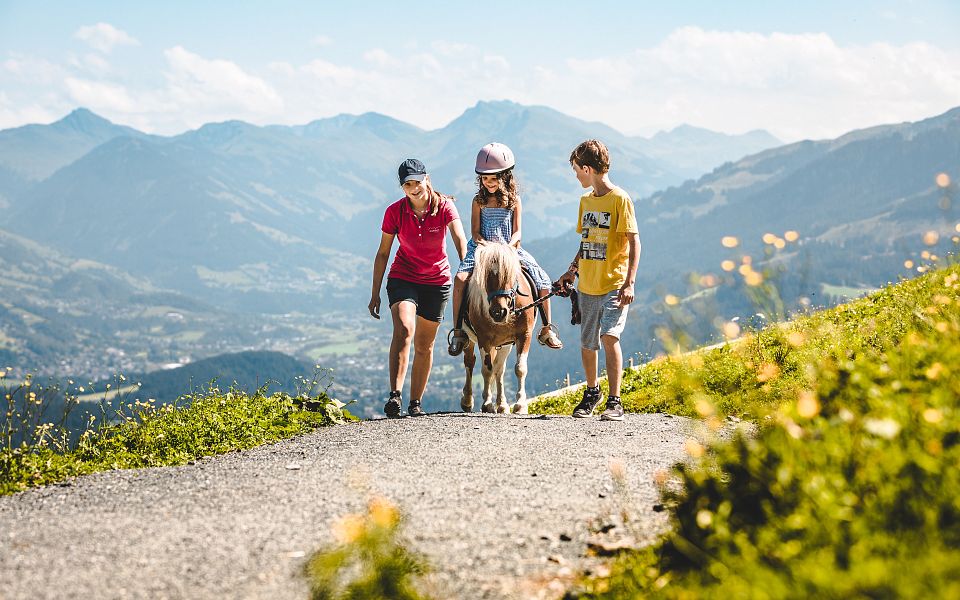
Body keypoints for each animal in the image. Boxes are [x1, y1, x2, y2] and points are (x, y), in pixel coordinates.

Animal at [460, 242, 538, 414]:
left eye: (510, 276)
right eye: (485, 277)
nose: (498, 312)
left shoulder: (524, 335)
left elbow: (519, 368)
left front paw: (520, 405)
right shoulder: (484, 340)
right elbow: (486, 370)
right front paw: (487, 404)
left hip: (505, 344)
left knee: (499, 369)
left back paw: (502, 405)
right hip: (469, 338)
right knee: (470, 362)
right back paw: (467, 400)